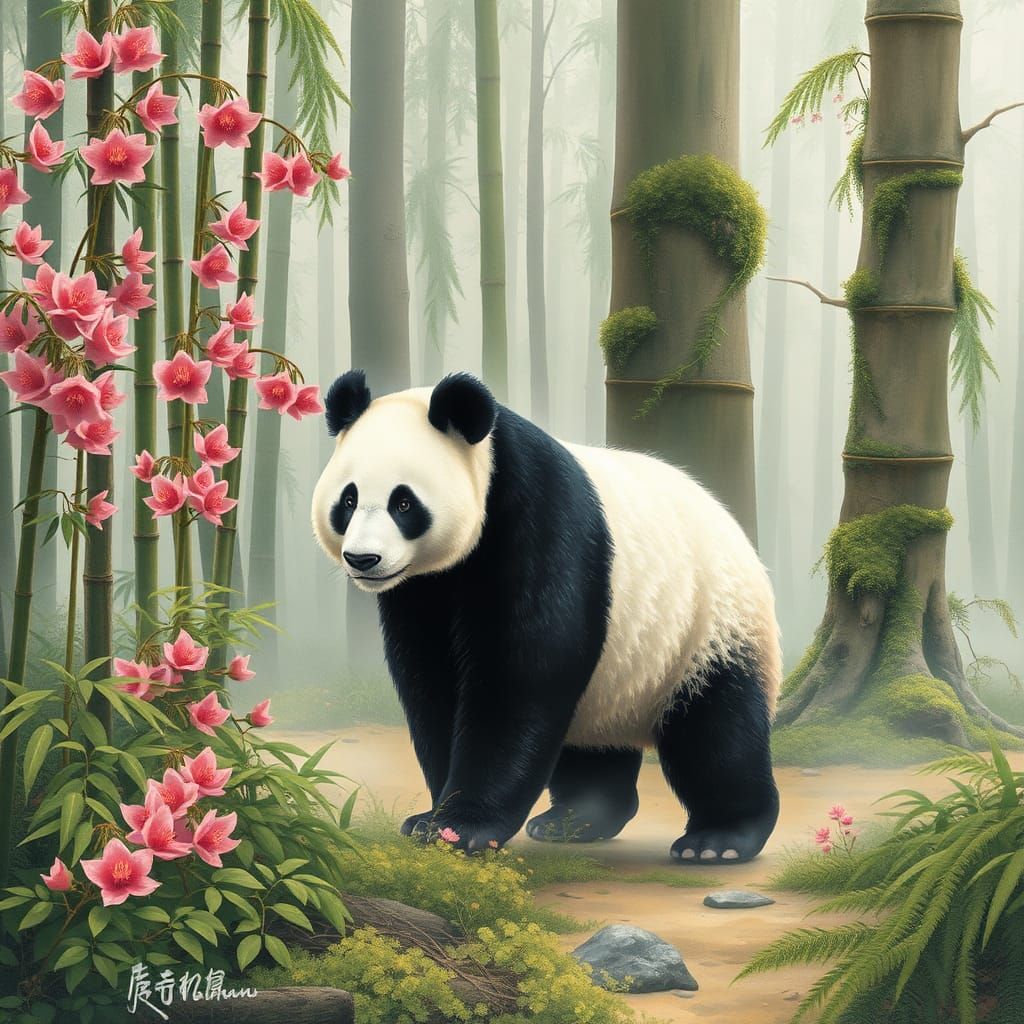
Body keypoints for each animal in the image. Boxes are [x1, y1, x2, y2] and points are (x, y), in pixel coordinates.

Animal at [312, 370, 781, 863]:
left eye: (403, 503)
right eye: (348, 500)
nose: (363, 559)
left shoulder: (541, 518)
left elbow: (524, 671)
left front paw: (461, 827)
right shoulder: (421, 589)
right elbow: (432, 681)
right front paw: (431, 818)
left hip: (706, 626)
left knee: (716, 732)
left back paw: (717, 840)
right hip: (614, 680)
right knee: (592, 746)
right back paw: (576, 819)